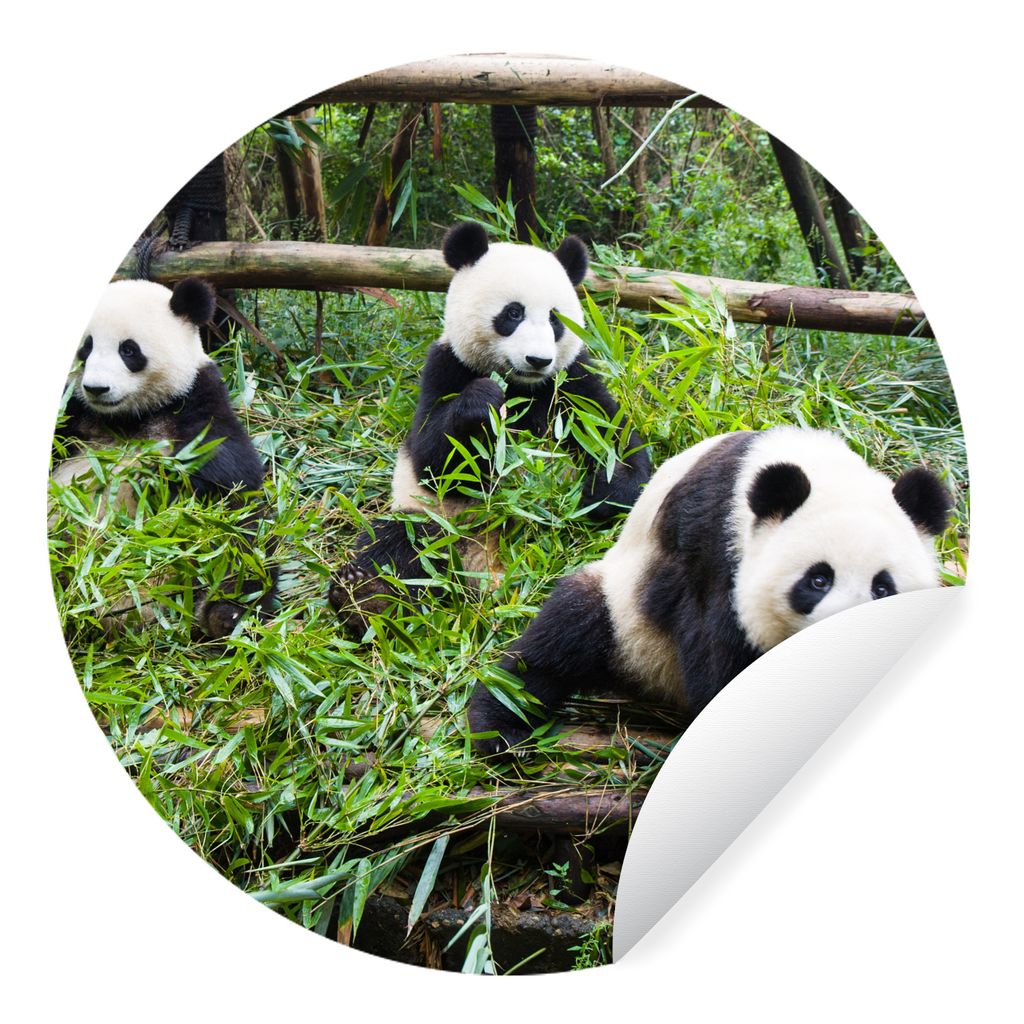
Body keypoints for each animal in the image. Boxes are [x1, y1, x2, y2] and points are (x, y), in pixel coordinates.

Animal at [51, 276, 276, 637]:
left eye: (129, 350)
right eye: (85, 348)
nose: (96, 389)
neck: (127, 417)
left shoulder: (197, 402)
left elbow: (230, 476)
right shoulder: (71, 413)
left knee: (241, 554)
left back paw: (225, 617)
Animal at [328, 221, 652, 628]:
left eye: (554, 319)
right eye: (513, 313)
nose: (538, 360)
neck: (522, 385)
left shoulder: (572, 381)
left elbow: (613, 438)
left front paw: (602, 489)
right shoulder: (445, 366)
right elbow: (431, 458)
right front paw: (483, 401)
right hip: (436, 521)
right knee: (400, 543)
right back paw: (367, 596)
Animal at [468, 426, 954, 753]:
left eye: (883, 588)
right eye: (818, 580)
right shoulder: (714, 549)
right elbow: (718, 661)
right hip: (627, 617)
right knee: (561, 639)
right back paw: (499, 727)